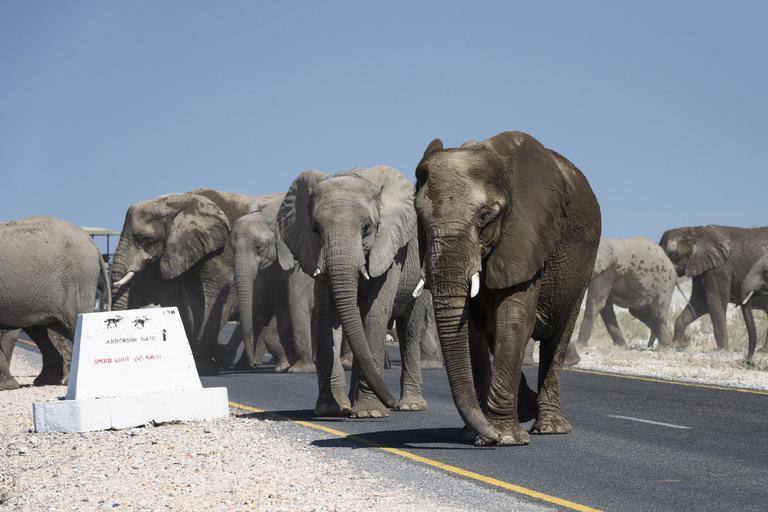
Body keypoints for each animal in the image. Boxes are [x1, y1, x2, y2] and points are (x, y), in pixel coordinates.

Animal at [111, 188, 277, 374]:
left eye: (143, 239)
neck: (178, 202)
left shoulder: (220, 250)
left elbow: (216, 297)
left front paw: (206, 366)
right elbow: (189, 305)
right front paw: (204, 362)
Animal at [231, 195, 316, 373]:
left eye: (258, 247)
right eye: (232, 249)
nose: (254, 364)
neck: (270, 214)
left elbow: (297, 301)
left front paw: (300, 369)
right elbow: (283, 304)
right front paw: (283, 366)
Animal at [278, 166, 428, 418]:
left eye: (367, 227)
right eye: (315, 229)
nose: (390, 403)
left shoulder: (390, 249)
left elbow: (375, 312)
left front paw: (371, 413)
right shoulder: (315, 253)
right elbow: (327, 315)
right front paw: (330, 410)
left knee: (410, 329)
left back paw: (410, 406)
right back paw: (355, 403)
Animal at [414, 131, 601, 446]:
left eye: (484, 217)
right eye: (420, 217)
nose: (490, 437)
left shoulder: (527, 238)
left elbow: (513, 321)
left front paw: (503, 437)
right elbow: (472, 331)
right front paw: (475, 434)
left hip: (582, 272)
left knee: (557, 339)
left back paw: (550, 427)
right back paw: (525, 409)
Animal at [660, 225, 768, 357]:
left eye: (673, 255)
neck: (696, 232)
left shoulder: (719, 269)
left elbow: (716, 302)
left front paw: (721, 351)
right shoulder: (703, 266)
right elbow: (699, 303)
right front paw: (678, 345)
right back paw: (763, 352)